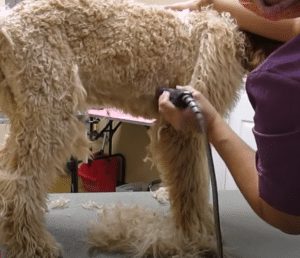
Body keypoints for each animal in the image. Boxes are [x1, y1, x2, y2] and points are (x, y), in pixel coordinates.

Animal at [0, 0, 264, 256]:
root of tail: (10, 22)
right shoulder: (180, 129)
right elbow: (189, 186)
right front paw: (192, 235)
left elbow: (194, 184)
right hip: (50, 112)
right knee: (19, 184)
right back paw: (33, 243)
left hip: (29, 114)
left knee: (7, 173)